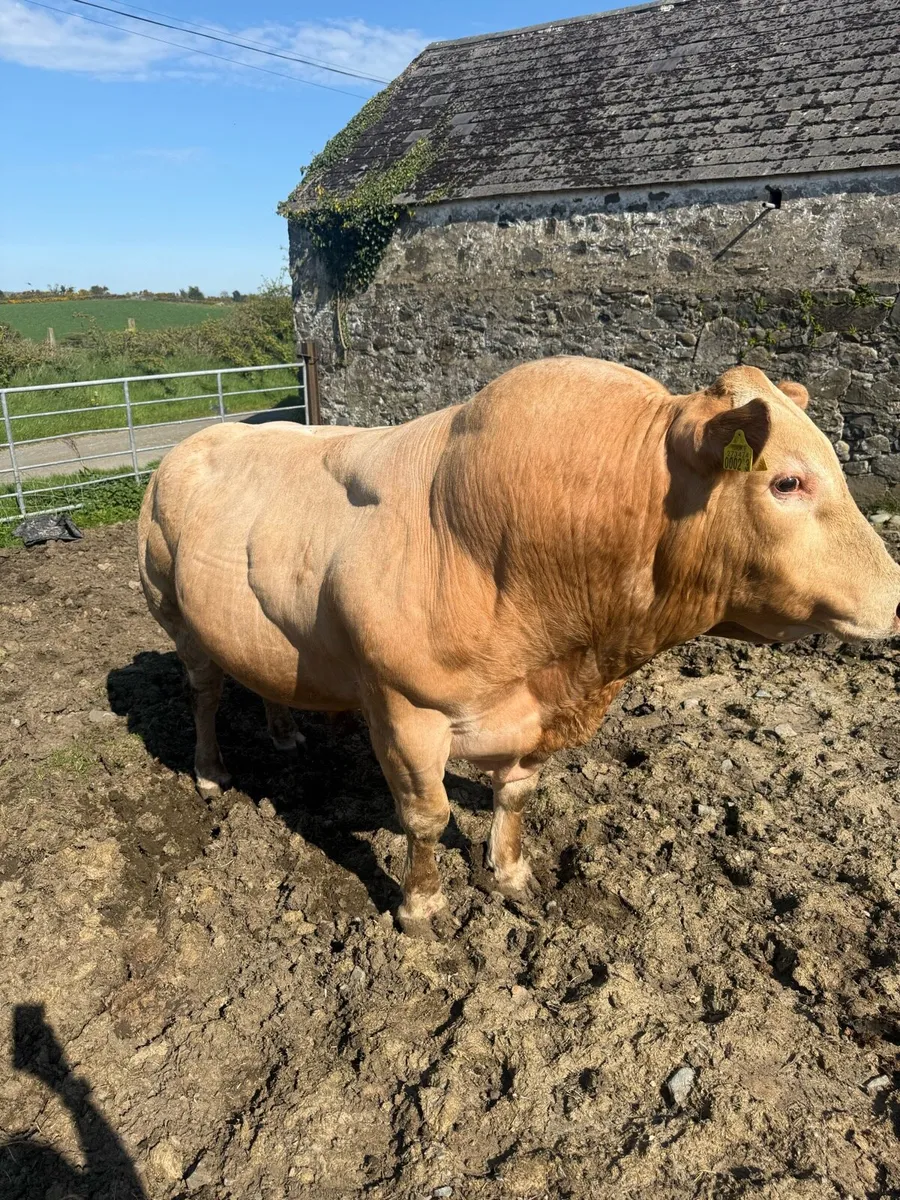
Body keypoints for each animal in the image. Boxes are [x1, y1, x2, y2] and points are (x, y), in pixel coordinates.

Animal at [138, 359, 900, 937]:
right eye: (787, 480)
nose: (895, 595)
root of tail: (188, 446)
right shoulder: (402, 708)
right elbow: (426, 816)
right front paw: (421, 906)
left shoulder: (538, 708)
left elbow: (516, 795)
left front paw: (510, 874)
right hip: (172, 609)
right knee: (204, 694)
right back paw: (211, 771)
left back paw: (284, 731)